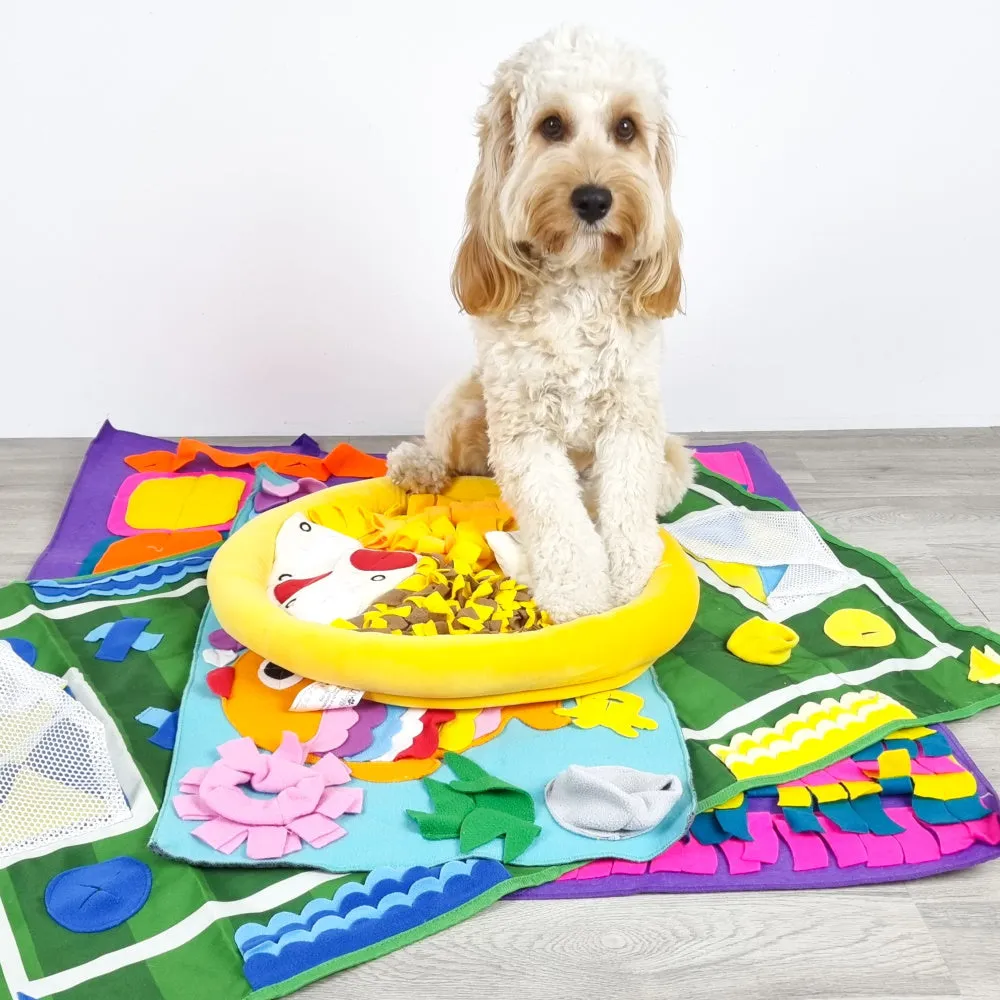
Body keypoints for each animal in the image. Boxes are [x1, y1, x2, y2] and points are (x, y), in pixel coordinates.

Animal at [386, 27, 692, 624]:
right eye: (552, 125)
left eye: (626, 128)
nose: (594, 198)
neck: (578, 286)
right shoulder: (524, 430)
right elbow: (557, 517)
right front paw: (581, 595)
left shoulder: (631, 421)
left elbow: (624, 505)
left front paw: (631, 579)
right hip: (466, 409)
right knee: (451, 456)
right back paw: (417, 466)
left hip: (670, 456)